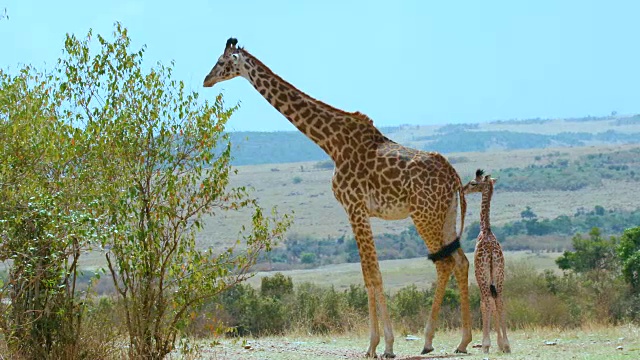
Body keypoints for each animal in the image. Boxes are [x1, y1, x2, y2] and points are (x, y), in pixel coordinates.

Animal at [202, 37, 472, 358]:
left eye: (221, 61)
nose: (206, 80)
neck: (330, 142)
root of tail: (454, 177)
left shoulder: (355, 207)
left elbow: (373, 275)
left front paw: (382, 345)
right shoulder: (357, 210)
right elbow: (368, 273)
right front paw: (377, 344)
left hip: (424, 214)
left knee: (444, 263)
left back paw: (432, 340)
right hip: (445, 214)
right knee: (460, 261)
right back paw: (462, 341)